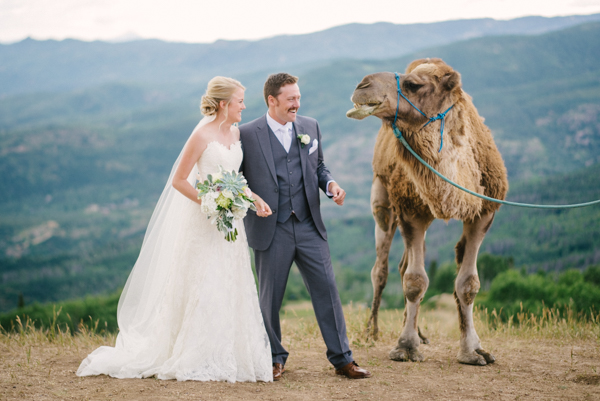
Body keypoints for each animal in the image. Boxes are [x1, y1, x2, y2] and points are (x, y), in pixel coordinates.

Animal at [346, 57, 506, 364]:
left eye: (414, 84)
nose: (361, 85)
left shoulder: (484, 212)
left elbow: (468, 284)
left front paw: (473, 351)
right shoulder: (410, 210)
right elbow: (415, 281)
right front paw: (405, 347)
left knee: (400, 266)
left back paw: (419, 333)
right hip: (382, 199)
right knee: (381, 269)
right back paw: (372, 331)